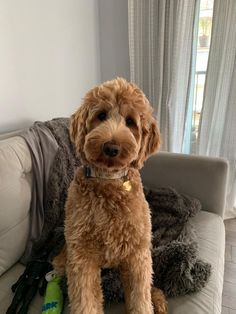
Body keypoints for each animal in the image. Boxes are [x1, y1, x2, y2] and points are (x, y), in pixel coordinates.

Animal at [53, 77, 168, 312]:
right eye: (101, 115)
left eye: (130, 122)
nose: (111, 148)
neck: (108, 181)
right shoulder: (82, 257)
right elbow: (85, 302)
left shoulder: (137, 255)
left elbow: (141, 298)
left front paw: (148, 303)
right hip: (64, 259)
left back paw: (158, 299)